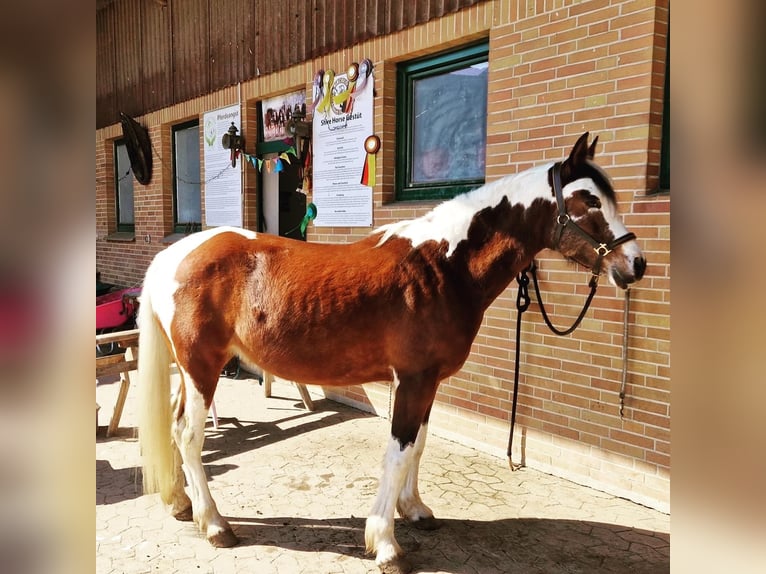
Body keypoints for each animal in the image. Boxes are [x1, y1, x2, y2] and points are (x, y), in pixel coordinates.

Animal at [138, 133, 648, 572]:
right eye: (590, 201)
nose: (636, 264)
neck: (443, 265)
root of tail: (175, 255)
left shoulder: (428, 382)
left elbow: (418, 445)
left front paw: (415, 509)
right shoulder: (413, 380)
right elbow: (399, 453)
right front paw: (385, 543)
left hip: (191, 371)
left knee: (175, 427)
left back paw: (181, 503)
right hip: (203, 366)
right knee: (189, 435)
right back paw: (215, 525)